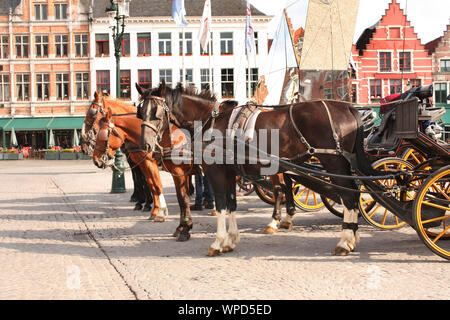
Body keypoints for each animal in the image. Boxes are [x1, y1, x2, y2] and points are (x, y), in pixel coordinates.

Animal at [91, 93, 195, 240]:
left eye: (93, 112)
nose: (96, 160)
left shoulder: (151, 163)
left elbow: (156, 185)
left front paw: (159, 211)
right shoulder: (141, 163)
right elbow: (151, 184)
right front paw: (154, 209)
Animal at [137, 83, 376, 258]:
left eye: (156, 113)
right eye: (140, 113)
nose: (146, 145)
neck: (212, 122)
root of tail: (347, 107)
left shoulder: (216, 172)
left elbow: (220, 205)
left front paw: (217, 242)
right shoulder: (230, 172)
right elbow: (231, 205)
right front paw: (231, 240)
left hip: (333, 162)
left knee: (347, 195)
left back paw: (344, 241)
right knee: (350, 194)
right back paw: (351, 236)